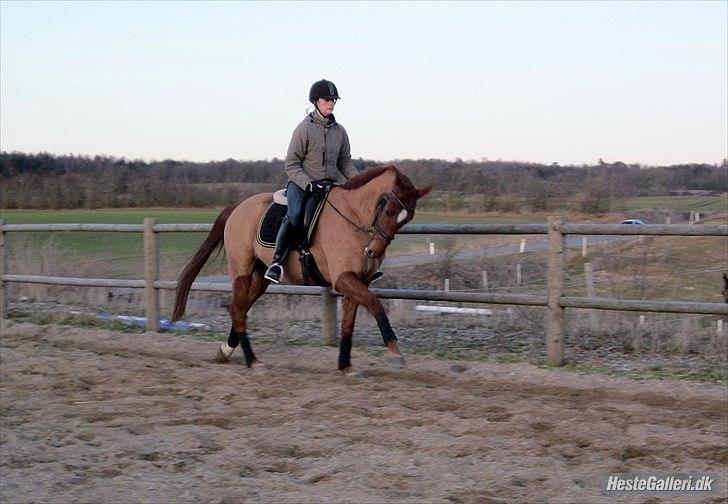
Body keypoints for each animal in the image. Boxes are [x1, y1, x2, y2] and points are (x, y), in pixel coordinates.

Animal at [171, 165, 432, 374]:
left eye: (406, 218)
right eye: (388, 211)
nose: (374, 252)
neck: (352, 217)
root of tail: (238, 207)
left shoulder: (359, 281)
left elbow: (348, 323)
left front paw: (345, 365)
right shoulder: (343, 279)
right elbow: (376, 304)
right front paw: (395, 353)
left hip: (260, 277)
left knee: (241, 310)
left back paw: (226, 351)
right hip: (241, 271)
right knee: (237, 308)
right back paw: (252, 360)